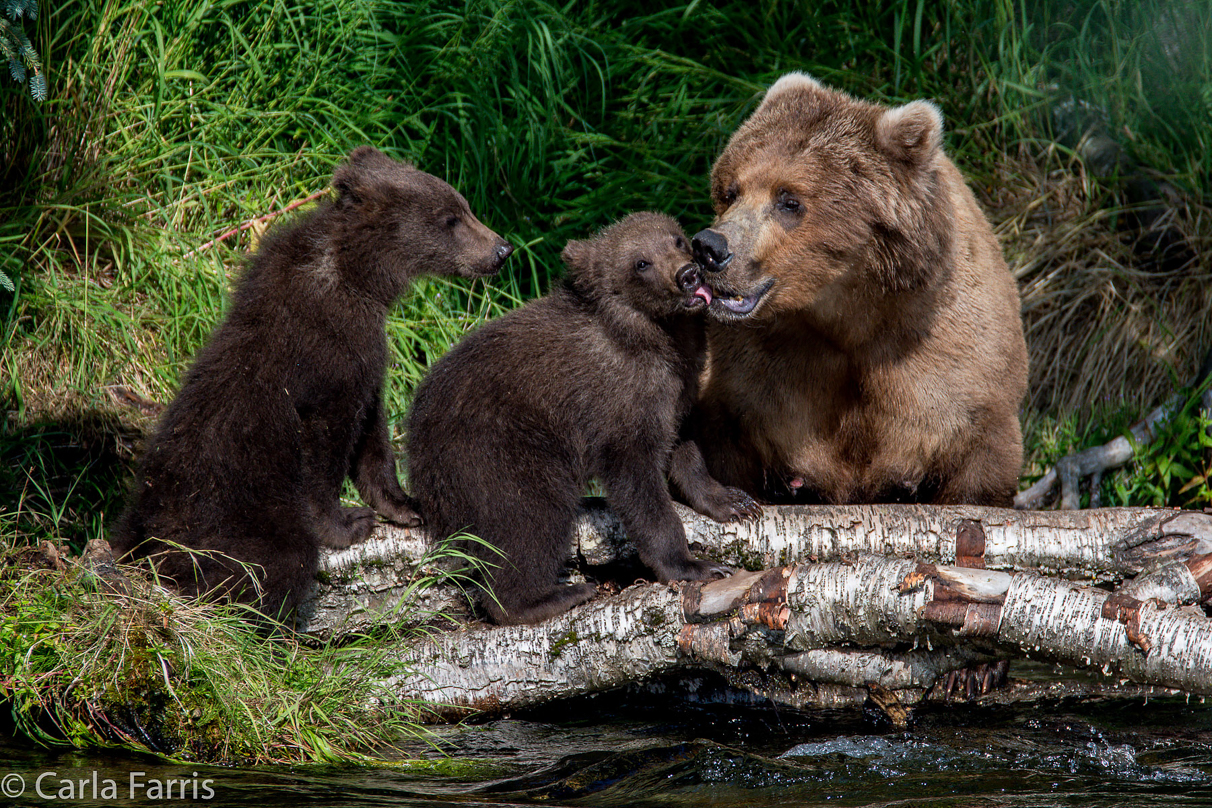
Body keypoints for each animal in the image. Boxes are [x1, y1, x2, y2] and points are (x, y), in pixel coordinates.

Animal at [693, 74, 1022, 506]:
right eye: (730, 190)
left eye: (789, 200)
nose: (710, 247)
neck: (848, 316)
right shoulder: (756, 372)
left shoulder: (950, 360)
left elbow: (977, 459)